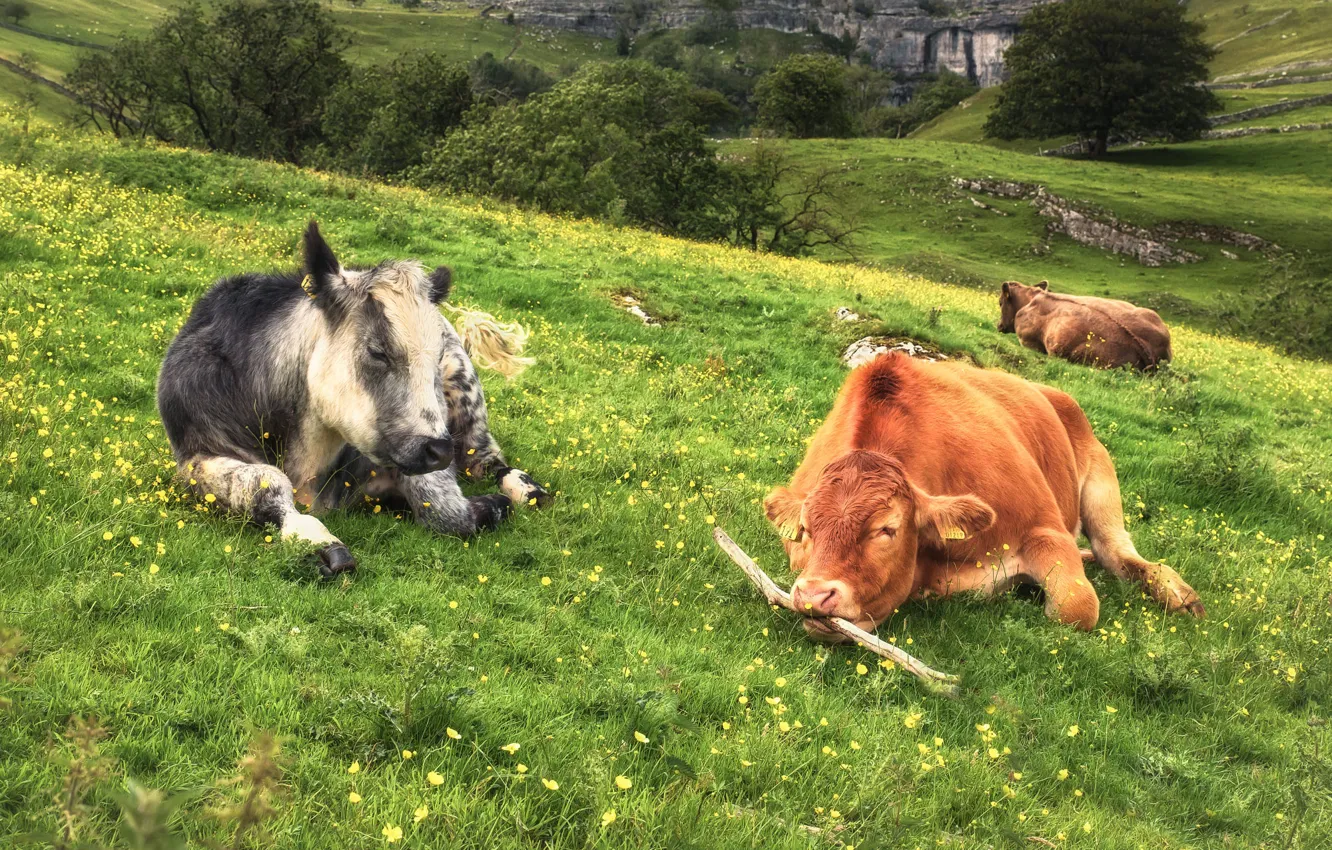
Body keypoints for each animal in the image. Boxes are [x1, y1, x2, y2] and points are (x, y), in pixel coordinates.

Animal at [157, 222, 551, 578]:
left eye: (436, 357)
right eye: (378, 352)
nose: (440, 450)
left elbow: (444, 509)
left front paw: (492, 505)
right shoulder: (195, 455)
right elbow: (264, 483)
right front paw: (314, 538)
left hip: (467, 403)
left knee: (487, 459)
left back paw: (525, 489)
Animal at [762, 353, 1202, 636]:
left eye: (886, 529)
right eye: (806, 529)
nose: (815, 596)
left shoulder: (1045, 528)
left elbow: (1077, 607)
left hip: (1101, 483)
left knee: (1120, 554)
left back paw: (1179, 595)